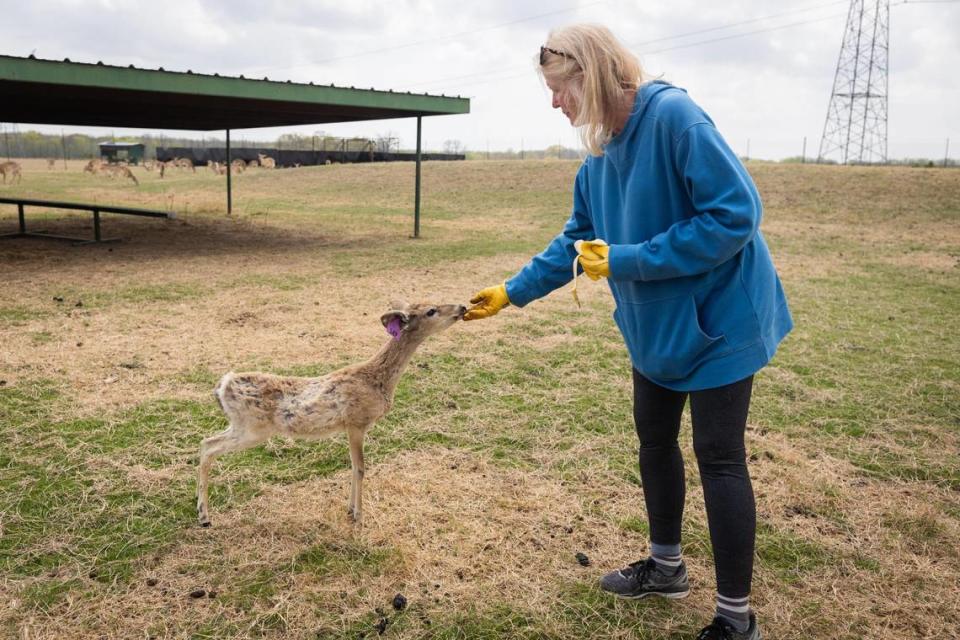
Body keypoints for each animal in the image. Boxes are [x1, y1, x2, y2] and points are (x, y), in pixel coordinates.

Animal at [195, 300, 464, 524]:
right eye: (431, 310)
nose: (461, 307)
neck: (377, 380)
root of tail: (222, 386)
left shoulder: (349, 426)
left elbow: (353, 467)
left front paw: (350, 510)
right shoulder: (357, 421)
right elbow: (360, 468)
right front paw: (359, 516)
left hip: (240, 425)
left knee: (206, 442)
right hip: (253, 428)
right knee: (209, 446)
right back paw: (204, 515)